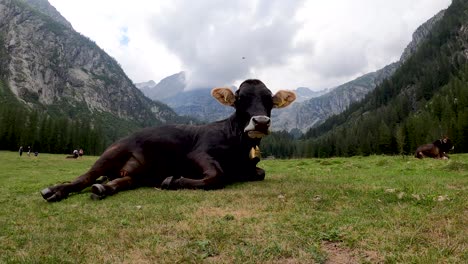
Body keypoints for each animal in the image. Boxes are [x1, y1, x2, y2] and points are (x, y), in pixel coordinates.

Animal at [41, 79, 296, 202]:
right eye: (239, 99)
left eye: (269, 100)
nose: (261, 121)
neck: (239, 148)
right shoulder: (199, 153)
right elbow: (217, 175)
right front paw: (173, 181)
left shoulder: (251, 167)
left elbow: (260, 173)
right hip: (110, 154)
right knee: (83, 178)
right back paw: (55, 191)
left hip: (136, 174)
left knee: (118, 181)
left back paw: (105, 187)